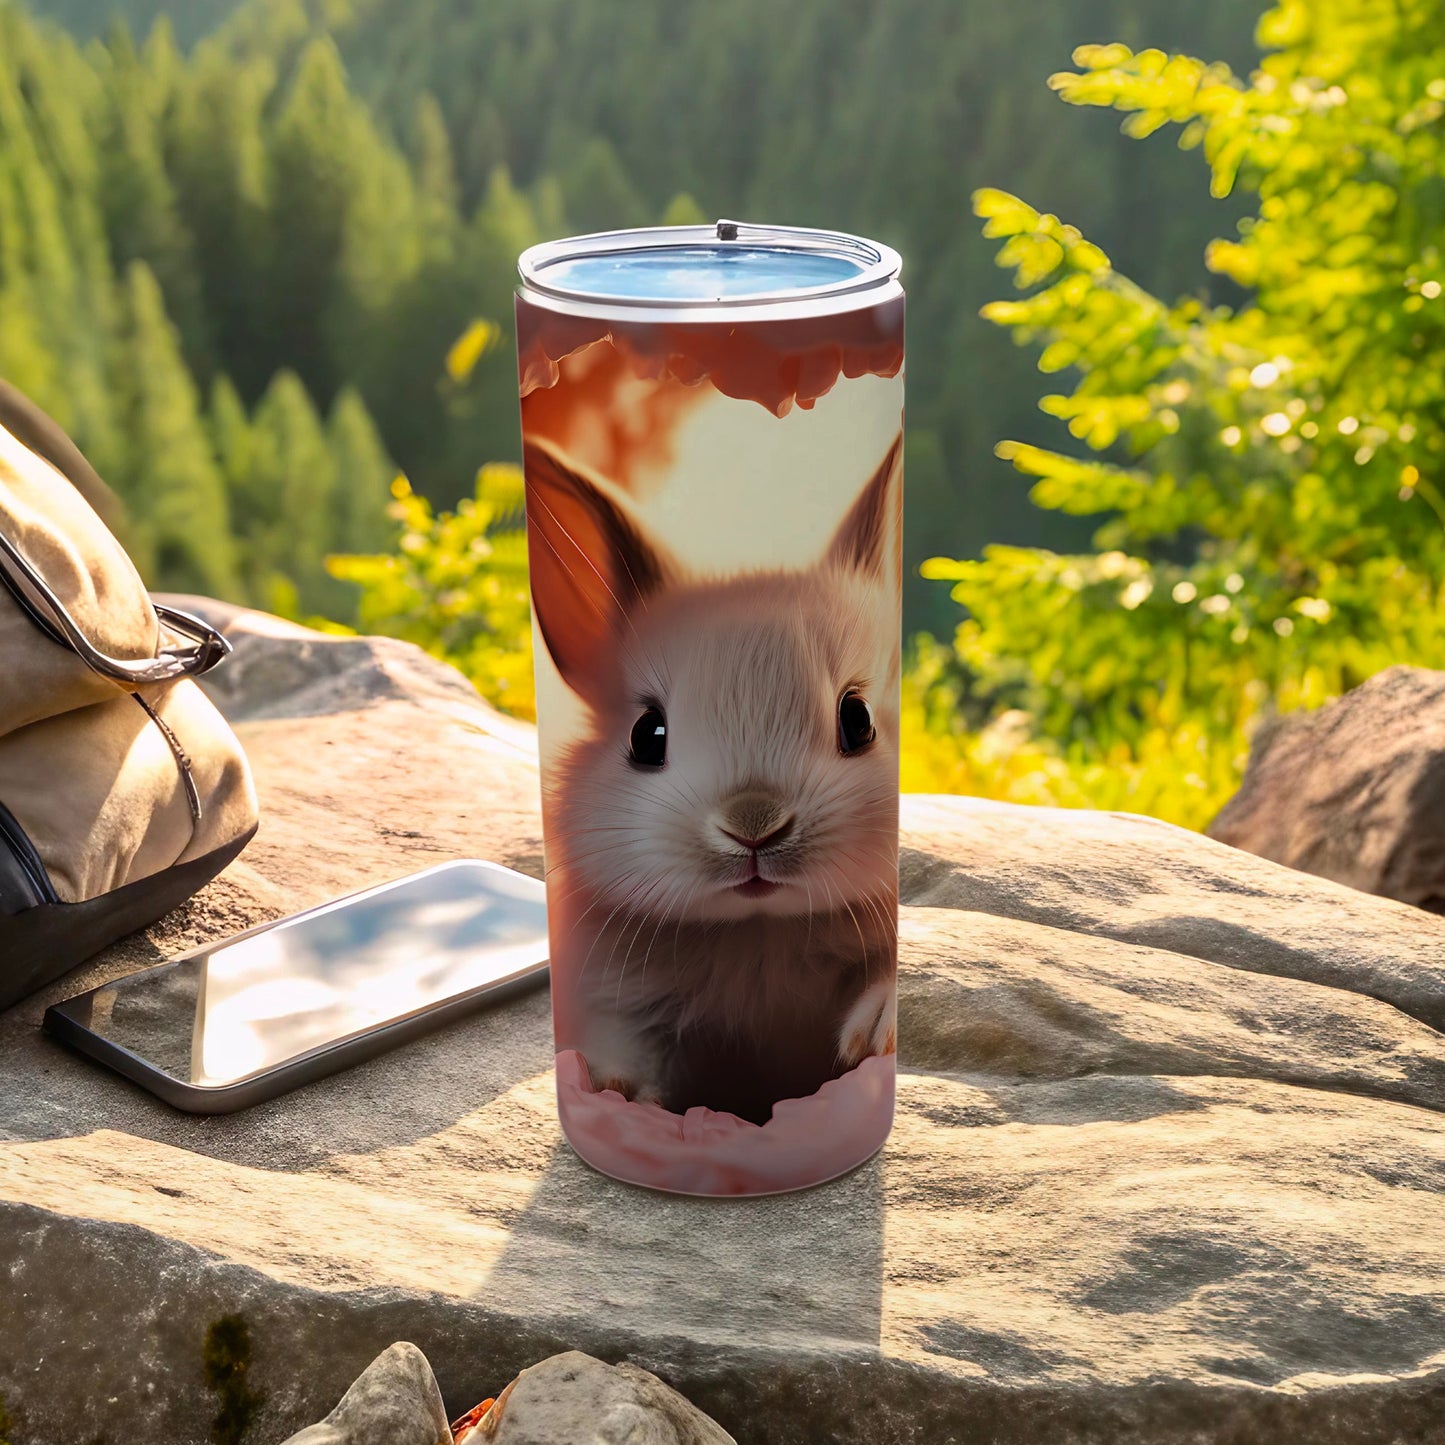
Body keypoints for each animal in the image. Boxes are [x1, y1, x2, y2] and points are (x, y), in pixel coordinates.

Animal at [525, 429, 902, 1124]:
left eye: (858, 720)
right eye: (647, 736)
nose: (753, 825)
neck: (758, 935)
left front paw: (876, 1033)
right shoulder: (618, 1004)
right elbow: (624, 1051)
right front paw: (609, 1090)